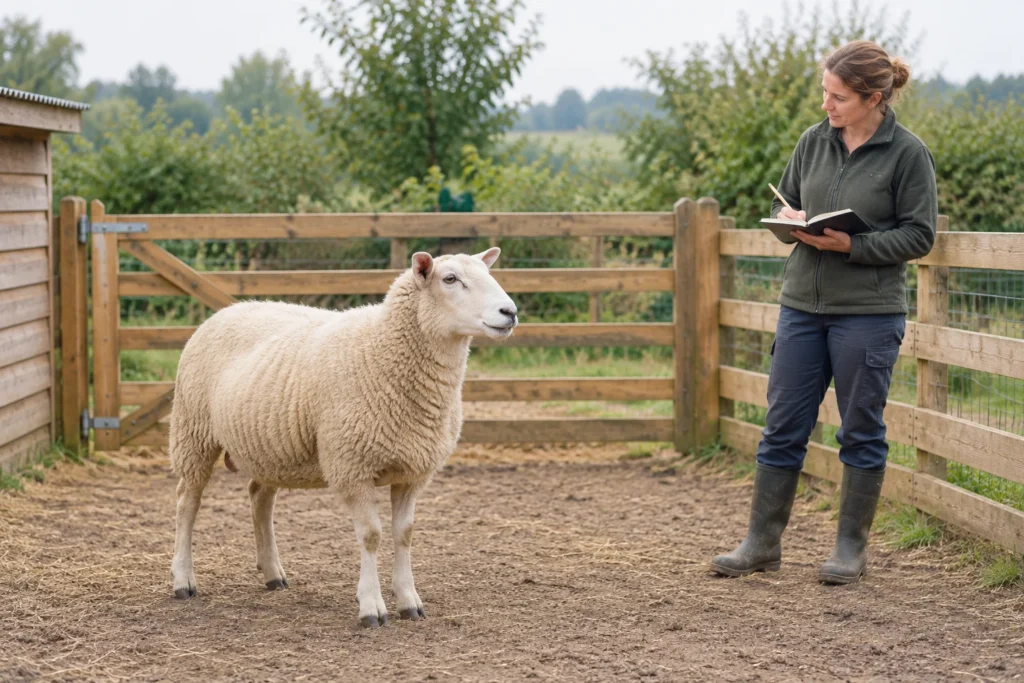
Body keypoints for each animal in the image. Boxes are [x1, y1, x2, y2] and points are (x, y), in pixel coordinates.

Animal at [168, 248, 517, 627]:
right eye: (450, 279)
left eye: (488, 273)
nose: (510, 312)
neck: (382, 348)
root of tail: (229, 309)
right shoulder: (353, 466)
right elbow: (371, 536)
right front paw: (372, 607)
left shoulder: (413, 472)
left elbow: (404, 534)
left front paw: (409, 601)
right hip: (193, 432)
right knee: (187, 503)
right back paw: (183, 580)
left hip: (269, 444)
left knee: (259, 498)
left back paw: (273, 574)